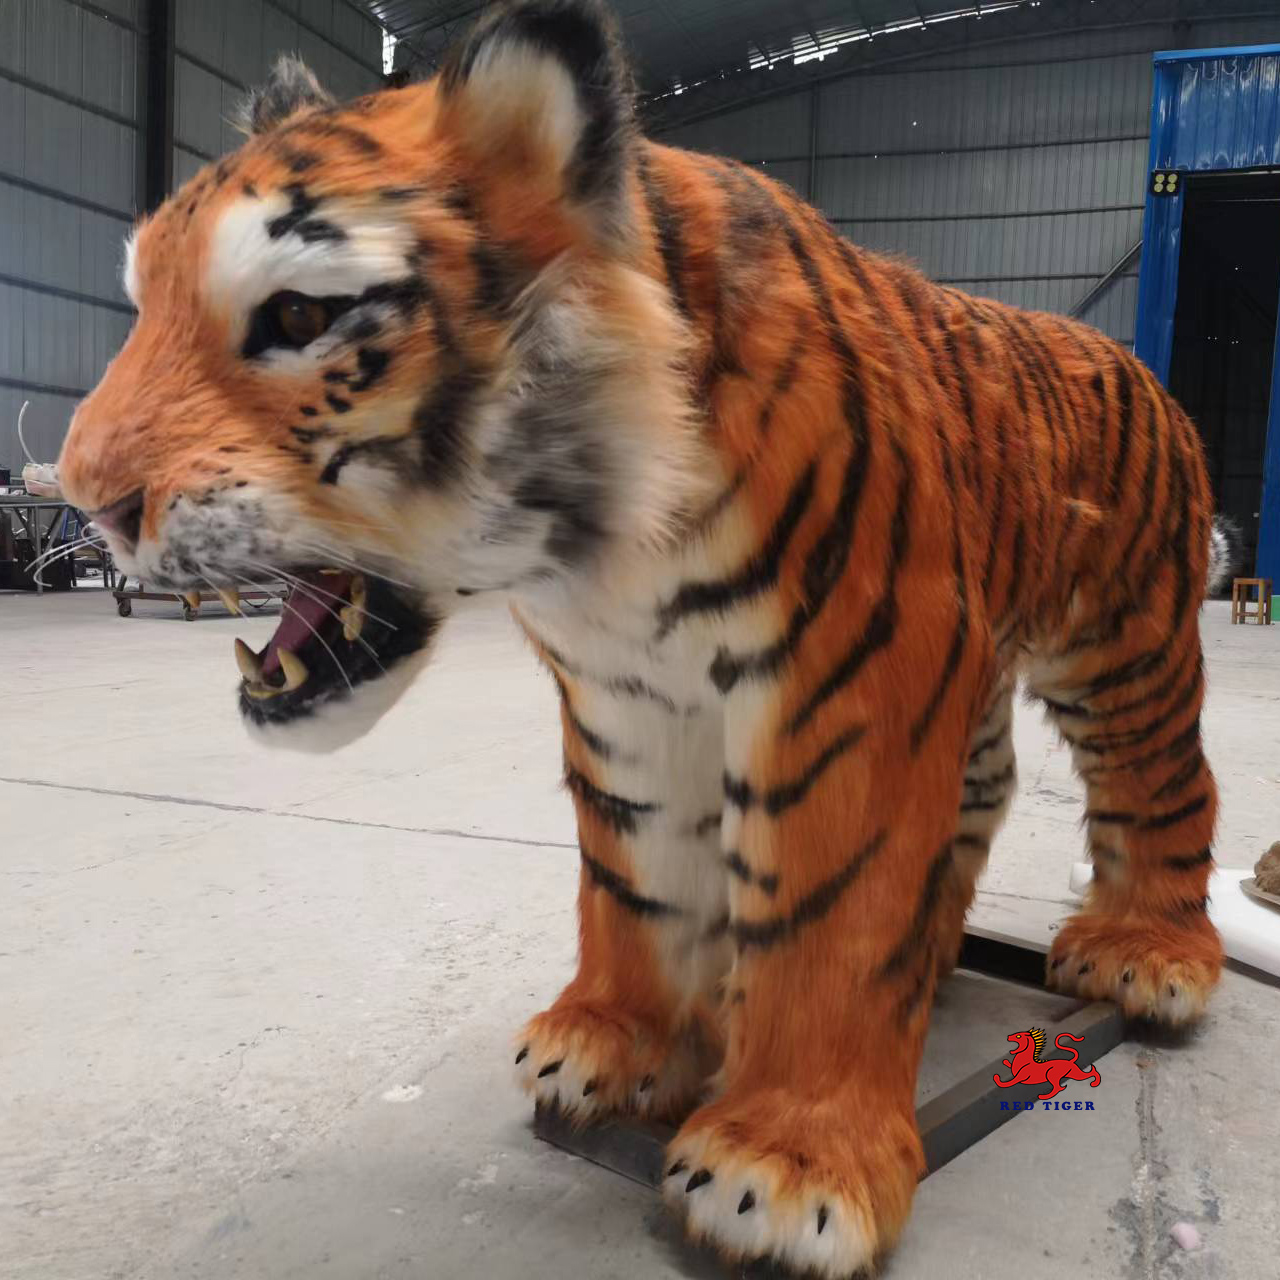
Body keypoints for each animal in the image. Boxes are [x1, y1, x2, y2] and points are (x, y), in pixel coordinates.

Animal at [57, 1, 1229, 1273]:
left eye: (298, 317)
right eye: (144, 306)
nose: (81, 497)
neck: (603, 558)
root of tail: (1139, 368)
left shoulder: (852, 687)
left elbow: (831, 915)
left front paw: (787, 1162)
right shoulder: (628, 696)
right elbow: (636, 879)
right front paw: (612, 1047)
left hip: (1123, 647)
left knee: (1167, 783)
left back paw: (1144, 956)